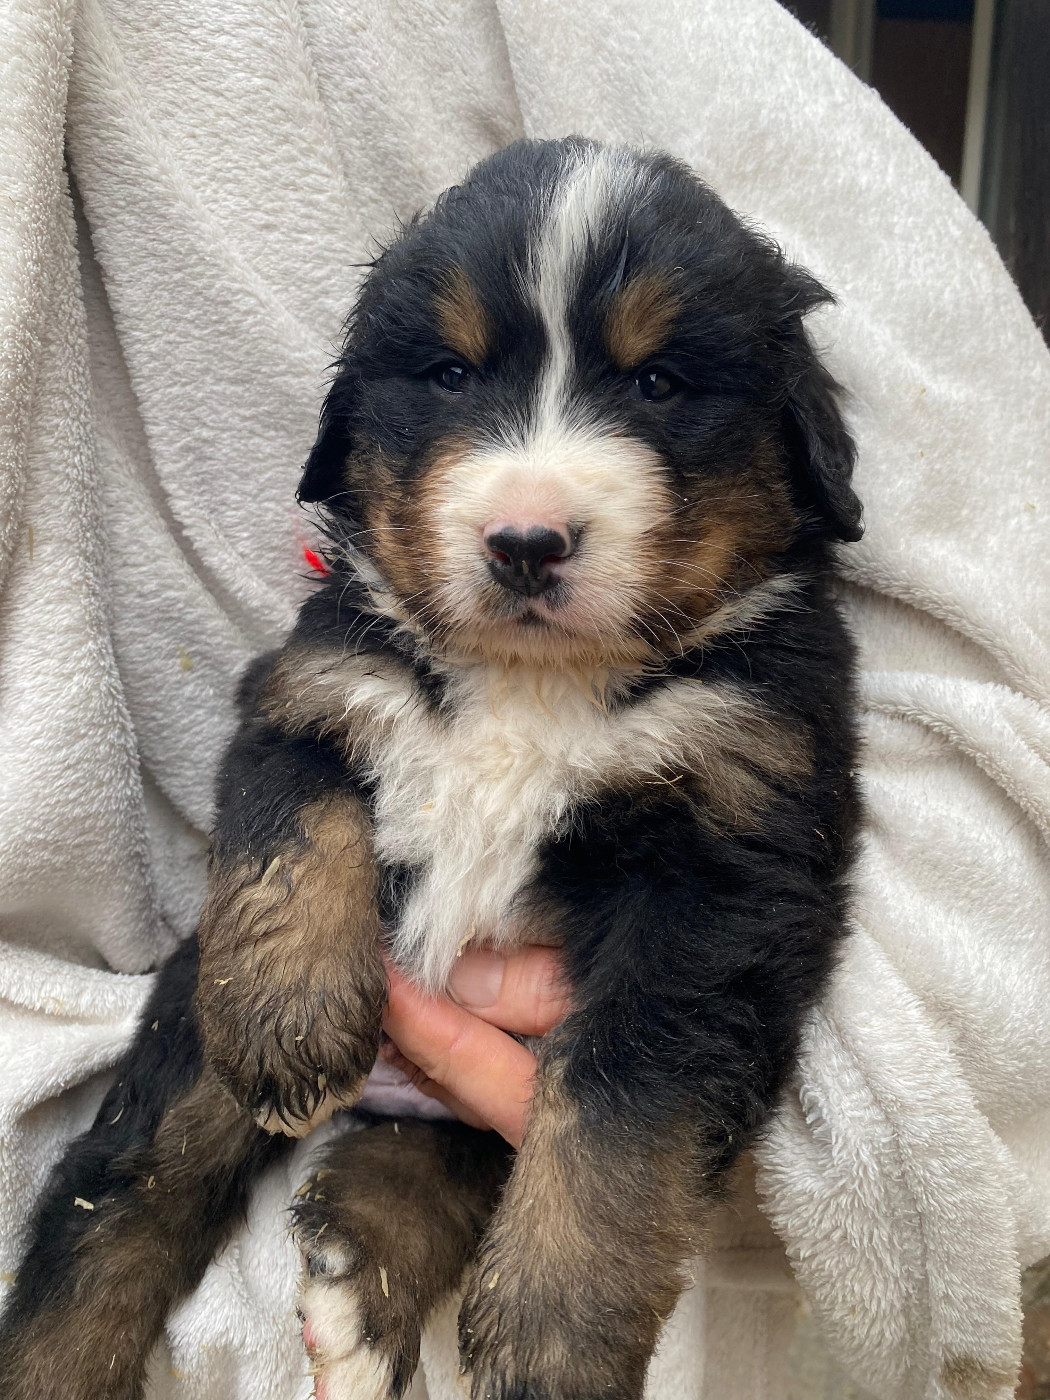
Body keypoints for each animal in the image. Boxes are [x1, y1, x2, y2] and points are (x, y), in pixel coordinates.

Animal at [0, 136, 862, 1400]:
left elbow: (620, 1116)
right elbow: (292, 833)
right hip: (186, 1052)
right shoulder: (308, 689)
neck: (530, 680)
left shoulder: (727, 855)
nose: (526, 540)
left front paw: (555, 1334)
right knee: (120, 1200)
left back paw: (361, 1273)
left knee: (441, 1148)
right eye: (449, 374)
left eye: (658, 385)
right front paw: (292, 1012)